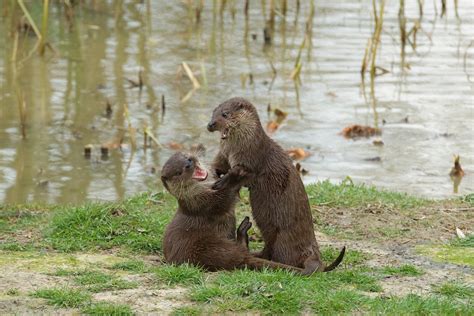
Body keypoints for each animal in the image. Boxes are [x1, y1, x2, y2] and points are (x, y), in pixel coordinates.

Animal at [160, 152, 308, 272]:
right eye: (179, 172)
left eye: (186, 157)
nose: (189, 162)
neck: (201, 190)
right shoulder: (202, 204)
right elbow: (225, 199)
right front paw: (236, 177)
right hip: (205, 247)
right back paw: (242, 231)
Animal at [207, 97, 344, 272]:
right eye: (213, 112)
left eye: (225, 114)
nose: (210, 124)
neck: (236, 149)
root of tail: (313, 254)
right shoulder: (224, 155)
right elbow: (219, 165)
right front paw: (215, 173)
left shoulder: (252, 158)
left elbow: (242, 172)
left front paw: (222, 181)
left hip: (282, 238)